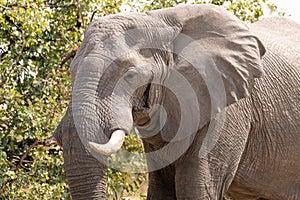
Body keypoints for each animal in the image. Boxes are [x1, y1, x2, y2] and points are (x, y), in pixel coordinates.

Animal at [46, 3, 300, 200]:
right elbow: (162, 187)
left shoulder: (226, 107)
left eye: (130, 75)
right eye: (71, 71)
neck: (159, 22)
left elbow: (196, 187)